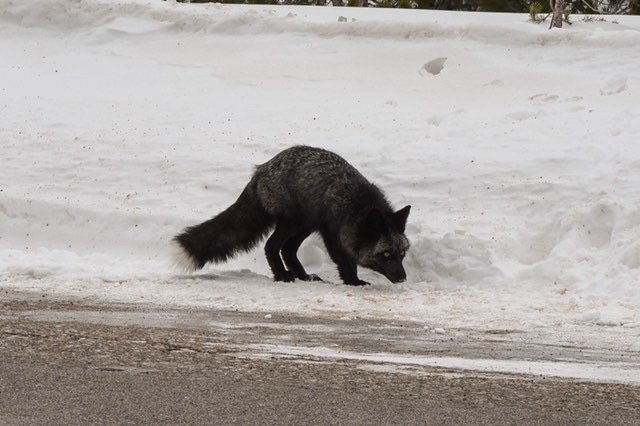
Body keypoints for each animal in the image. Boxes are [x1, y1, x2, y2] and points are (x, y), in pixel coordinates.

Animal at [171, 146, 410, 286]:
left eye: (402, 253)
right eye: (385, 254)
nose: (402, 278)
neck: (359, 203)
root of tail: (260, 170)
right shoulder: (332, 233)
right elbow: (345, 260)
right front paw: (354, 281)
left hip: (305, 224)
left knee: (287, 249)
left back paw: (303, 276)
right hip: (292, 222)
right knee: (271, 246)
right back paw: (282, 276)